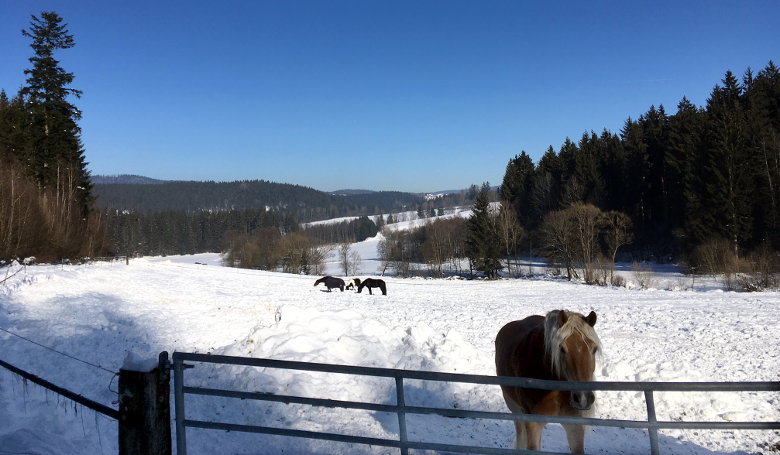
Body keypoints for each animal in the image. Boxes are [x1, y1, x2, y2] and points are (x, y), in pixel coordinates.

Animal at [496, 308, 600, 454]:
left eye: (594, 349)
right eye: (562, 349)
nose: (583, 398)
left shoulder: (574, 424)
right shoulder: (532, 424)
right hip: (515, 409)